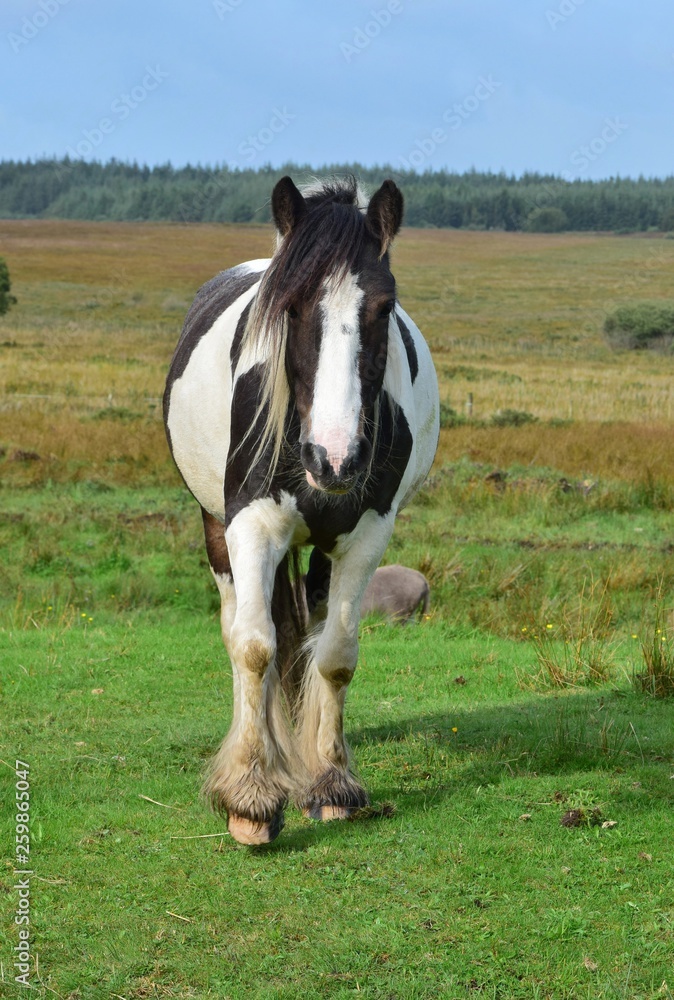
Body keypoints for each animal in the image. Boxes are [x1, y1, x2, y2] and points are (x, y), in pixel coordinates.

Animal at [162, 174, 436, 844]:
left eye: (384, 309)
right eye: (287, 308)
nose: (334, 459)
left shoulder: (366, 535)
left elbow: (334, 656)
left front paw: (332, 782)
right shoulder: (251, 523)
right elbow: (255, 646)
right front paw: (250, 797)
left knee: (308, 630)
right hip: (217, 530)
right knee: (241, 628)